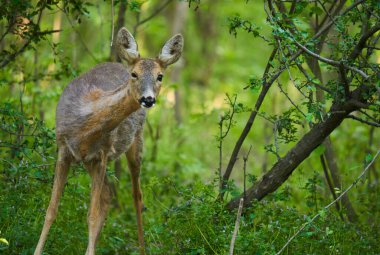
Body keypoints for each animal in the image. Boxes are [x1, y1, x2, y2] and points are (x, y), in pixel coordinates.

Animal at [33, 27, 185, 255]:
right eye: (135, 74)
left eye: (160, 76)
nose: (148, 99)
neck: (84, 129)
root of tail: (118, 62)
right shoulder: (63, 149)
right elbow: (51, 210)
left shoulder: (102, 153)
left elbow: (92, 215)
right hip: (88, 162)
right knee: (107, 196)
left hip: (135, 142)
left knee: (136, 197)